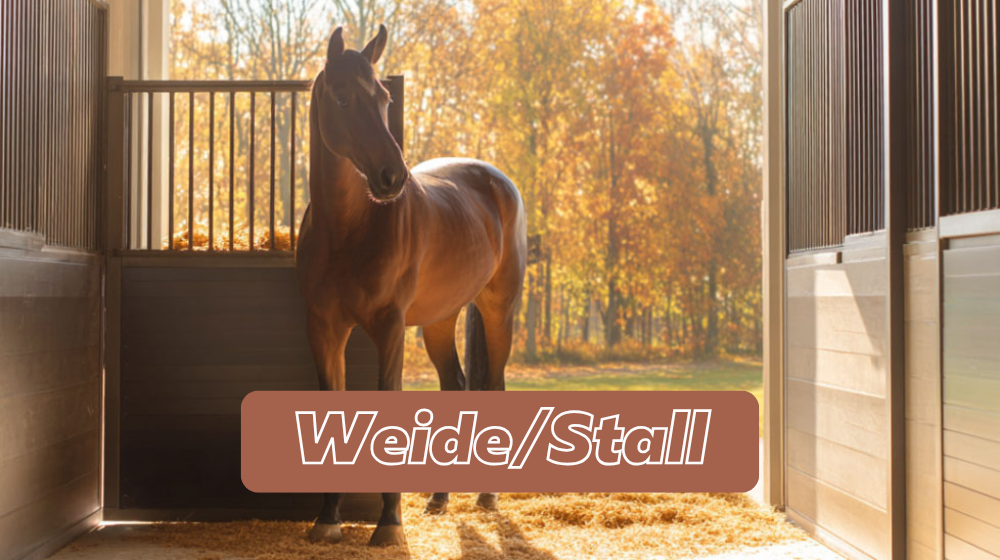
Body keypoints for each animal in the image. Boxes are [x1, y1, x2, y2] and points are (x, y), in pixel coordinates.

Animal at [294, 24, 527, 547]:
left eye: (384, 99)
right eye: (342, 98)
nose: (392, 176)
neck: (348, 230)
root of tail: (497, 180)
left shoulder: (389, 328)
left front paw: (387, 524)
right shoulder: (323, 328)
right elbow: (330, 413)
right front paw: (327, 518)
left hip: (498, 308)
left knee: (493, 384)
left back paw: (486, 496)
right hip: (440, 320)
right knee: (454, 385)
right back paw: (439, 498)